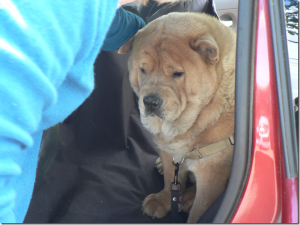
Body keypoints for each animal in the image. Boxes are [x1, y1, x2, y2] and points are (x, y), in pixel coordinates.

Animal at [119, 12, 237, 223]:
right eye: (143, 70)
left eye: (178, 73)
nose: (150, 102)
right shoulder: (167, 151)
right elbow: (170, 179)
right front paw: (162, 201)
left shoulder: (211, 172)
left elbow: (201, 209)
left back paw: (187, 200)